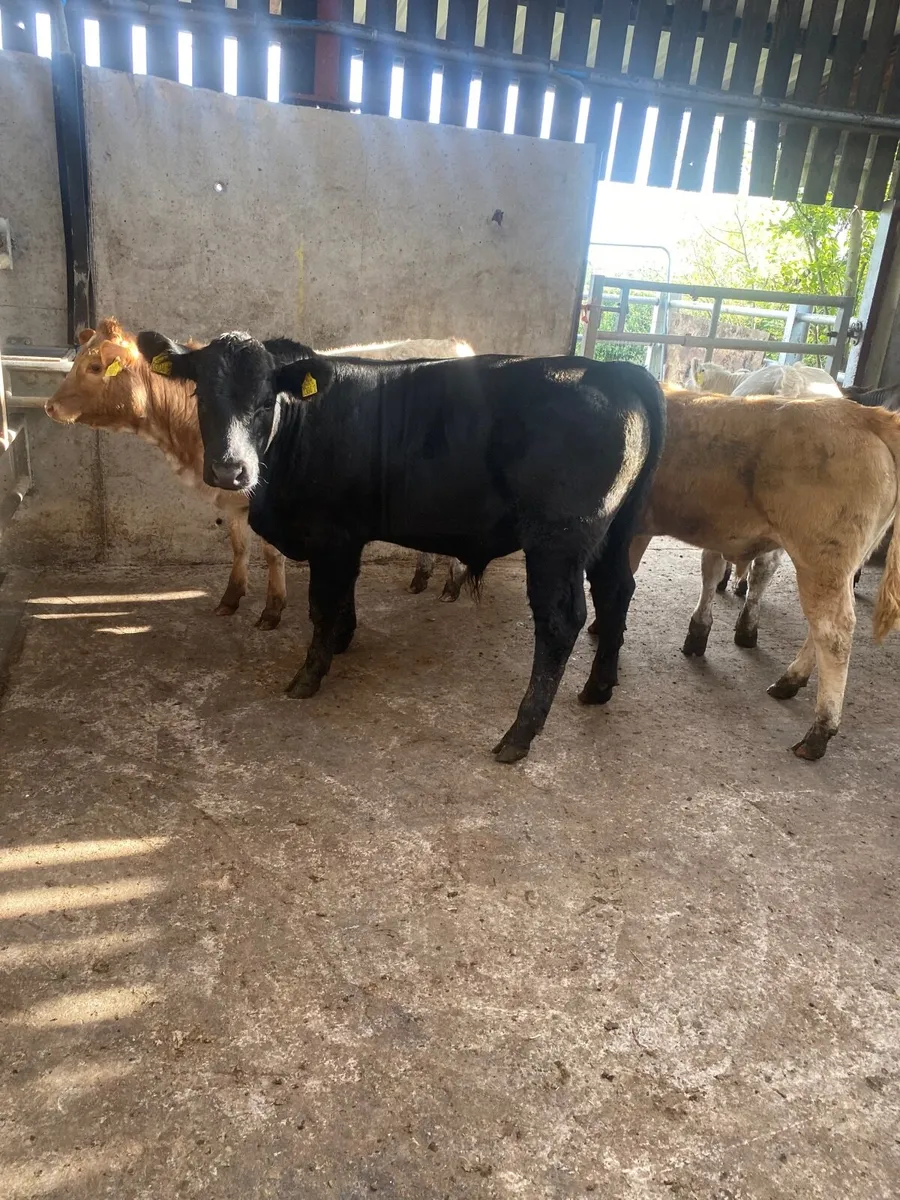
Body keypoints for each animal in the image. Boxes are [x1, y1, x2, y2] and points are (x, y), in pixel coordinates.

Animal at [45, 319, 472, 625]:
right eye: (201, 395)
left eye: (95, 366)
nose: (50, 406)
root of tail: (457, 345)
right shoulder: (230, 495)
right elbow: (239, 547)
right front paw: (231, 599)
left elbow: (271, 552)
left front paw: (273, 608)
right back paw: (422, 578)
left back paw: (451, 584)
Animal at [136, 330, 666, 763]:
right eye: (202, 395)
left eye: (267, 401)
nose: (230, 470)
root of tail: (612, 369)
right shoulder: (347, 537)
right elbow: (343, 595)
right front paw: (342, 641)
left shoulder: (329, 535)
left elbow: (321, 604)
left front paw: (309, 675)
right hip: (613, 533)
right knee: (617, 591)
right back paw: (598, 688)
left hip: (559, 540)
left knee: (561, 621)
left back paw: (519, 733)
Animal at [589, 388, 900, 760]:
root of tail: (863, 414)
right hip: (837, 567)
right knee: (823, 627)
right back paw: (789, 682)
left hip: (821, 559)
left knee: (834, 633)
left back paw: (819, 731)